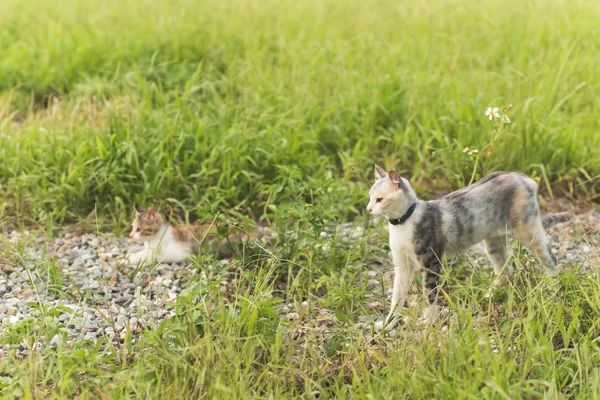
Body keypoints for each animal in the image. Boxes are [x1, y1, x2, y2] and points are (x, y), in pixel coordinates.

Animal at [366, 164, 572, 330]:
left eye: (379, 199)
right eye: (370, 197)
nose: (368, 209)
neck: (402, 223)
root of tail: (522, 178)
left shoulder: (431, 264)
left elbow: (430, 297)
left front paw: (428, 322)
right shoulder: (401, 266)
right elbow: (396, 299)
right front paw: (389, 323)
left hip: (528, 232)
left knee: (550, 259)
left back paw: (553, 288)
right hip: (493, 242)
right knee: (504, 271)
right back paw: (490, 293)